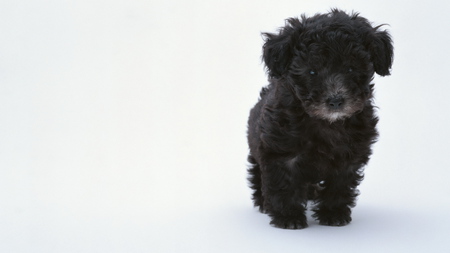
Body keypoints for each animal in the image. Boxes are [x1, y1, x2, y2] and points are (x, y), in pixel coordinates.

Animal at [248, 8, 392, 228]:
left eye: (351, 68)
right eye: (312, 71)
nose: (335, 100)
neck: (326, 123)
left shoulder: (349, 156)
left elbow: (339, 185)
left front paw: (333, 213)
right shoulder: (279, 152)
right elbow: (283, 183)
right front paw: (288, 217)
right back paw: (263, 203)